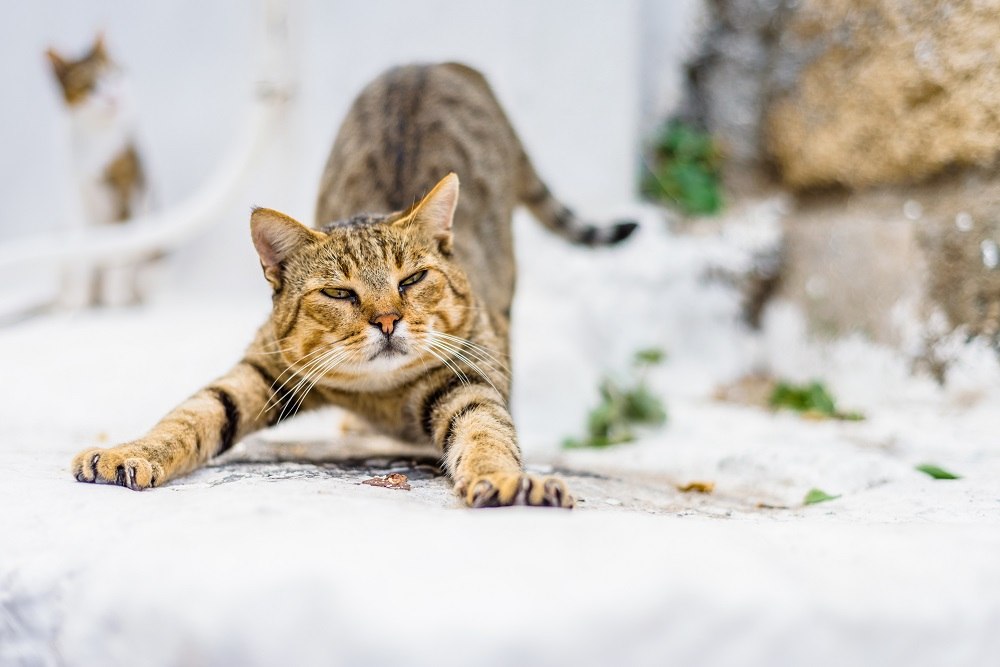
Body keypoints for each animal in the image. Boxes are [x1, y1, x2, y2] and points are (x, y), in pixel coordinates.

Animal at [45, 34, 154, 308]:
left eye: (114, 76)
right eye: (90, 86)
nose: (112, 99)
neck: (95, 137)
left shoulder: (126, 188)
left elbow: (118, 248)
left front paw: (116, 299)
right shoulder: (73, 193)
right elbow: (82, 249)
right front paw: (76, 300)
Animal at [70, 65, 636, 508]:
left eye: (412, 279)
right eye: (339, 293)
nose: (387, 321)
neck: (377, 396)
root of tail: (430, 62)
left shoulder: (470, 375)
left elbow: (486, 432)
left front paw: (509, 481)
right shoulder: (262, 367)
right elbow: (191, 413)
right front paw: (128, 451)